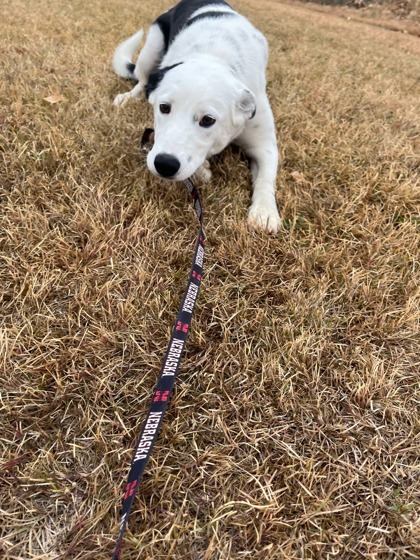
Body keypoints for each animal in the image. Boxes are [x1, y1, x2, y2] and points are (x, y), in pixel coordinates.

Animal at [113, 0, 280, 233]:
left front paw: (265, 211)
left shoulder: (264, 144)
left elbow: (266, 178)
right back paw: (127, 98)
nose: (164, 165)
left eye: (208, 120)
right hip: (152, 47)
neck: (214, 56)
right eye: (164, 108)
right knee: (142, 81)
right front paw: (202, 169)